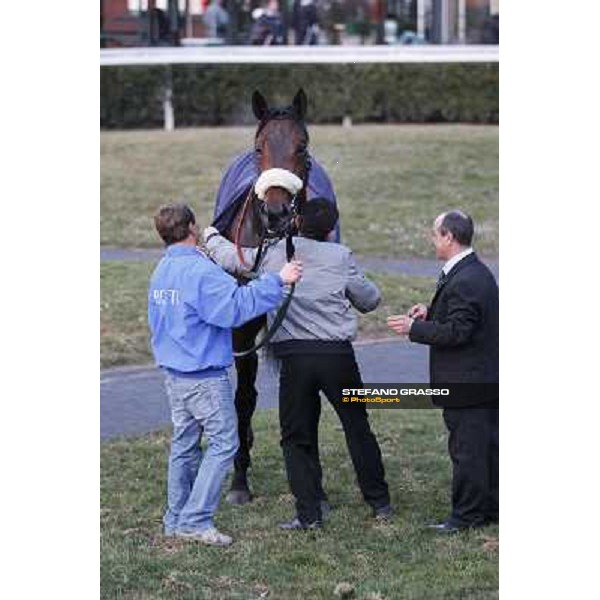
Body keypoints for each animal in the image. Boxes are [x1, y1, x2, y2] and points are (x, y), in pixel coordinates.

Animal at [212, 89, 332, 504]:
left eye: (302, 146)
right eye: (258, 147)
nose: (277, 211)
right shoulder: (242, 330)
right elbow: (244, 398)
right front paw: (238, 481)